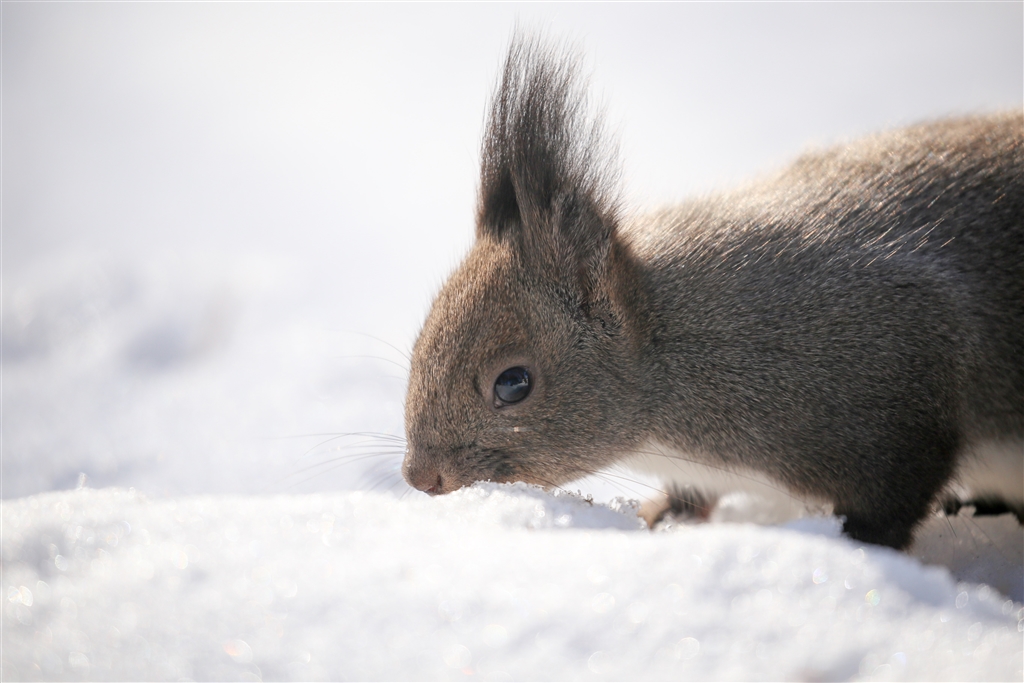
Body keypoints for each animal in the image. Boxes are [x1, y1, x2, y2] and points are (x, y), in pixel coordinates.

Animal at [401, 36, 1023, 549]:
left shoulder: (888, 390)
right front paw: (660, 516)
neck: (672, 349)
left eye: (513, 383)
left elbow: (893, 501)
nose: (419, 477)